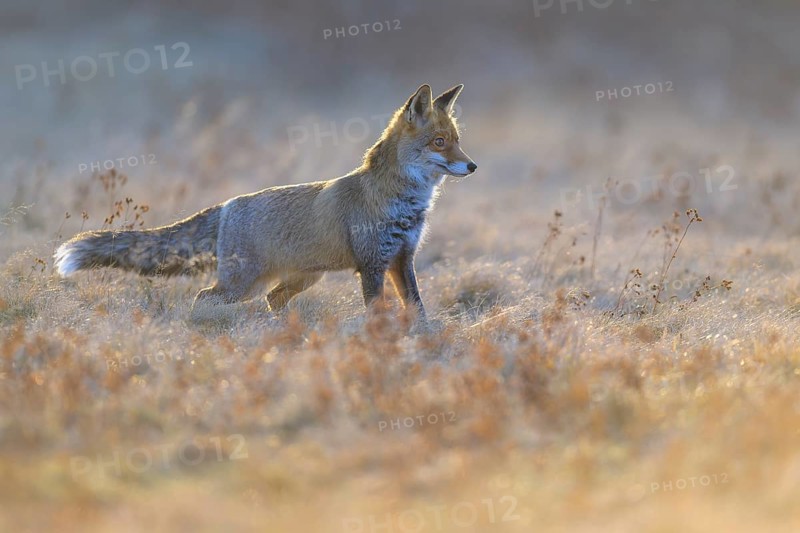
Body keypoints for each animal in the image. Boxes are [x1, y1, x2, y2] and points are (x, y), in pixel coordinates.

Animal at [54, 84, 477, 320]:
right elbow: (380, 315)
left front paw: (424, 343)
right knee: (203, 297)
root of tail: (226, 205)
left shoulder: (402, 259)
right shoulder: (373, 264)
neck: (402, 203)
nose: (472, 166)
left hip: (301, 278)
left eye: (457, 140)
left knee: (274, 300)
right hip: (241, 286)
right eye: (440, 143)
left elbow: (417, 310)